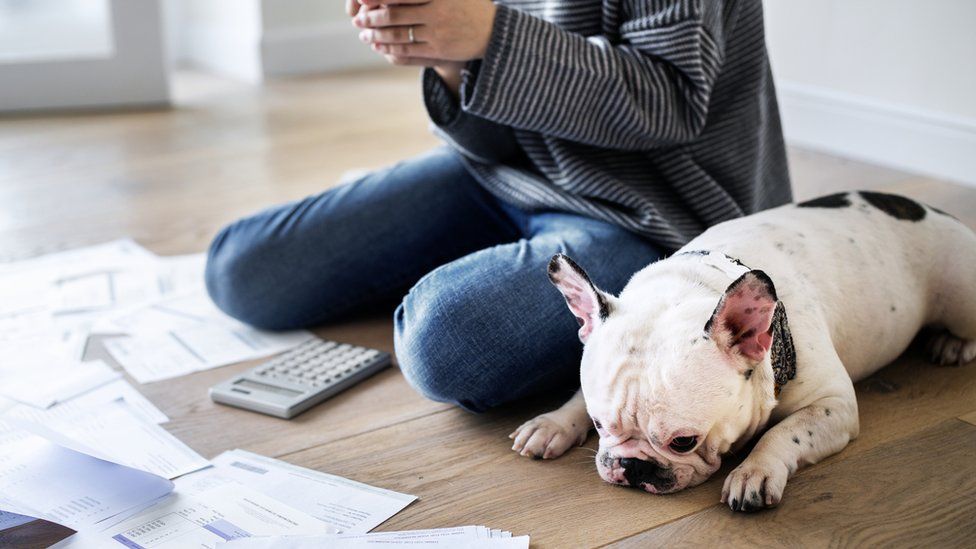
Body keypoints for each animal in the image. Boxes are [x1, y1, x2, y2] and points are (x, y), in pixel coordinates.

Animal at [510, 191, 976, 512]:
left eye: (683, 442)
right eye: (598, 424)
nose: (632, 467)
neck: (698, 282)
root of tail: (934, 211)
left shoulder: (833, 404)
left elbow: (784, 431)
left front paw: (755, 470)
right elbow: (575, 395)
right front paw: (553, 423)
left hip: (962, 298)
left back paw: (953, 344)